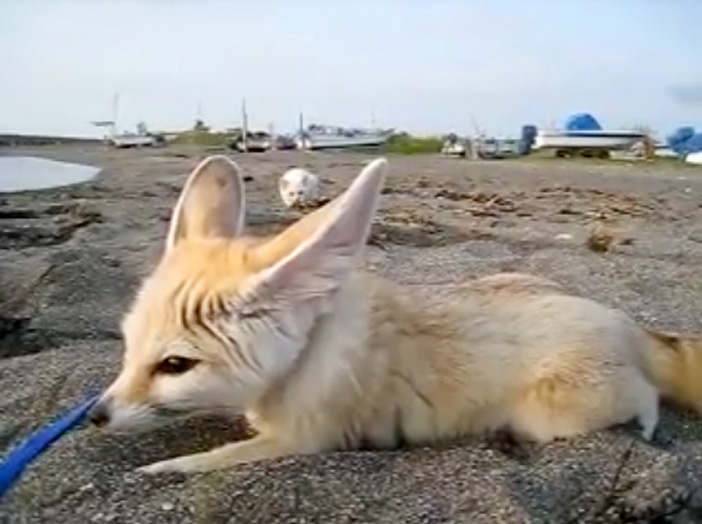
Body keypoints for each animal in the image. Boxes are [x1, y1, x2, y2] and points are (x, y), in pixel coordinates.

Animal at [88, 154, 702, 472]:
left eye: (175, 366)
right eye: (128, 349)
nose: (94, 417)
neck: (308, 352)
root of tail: (627, 324)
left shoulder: (304, 441)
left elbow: (200, 463)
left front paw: (156, 473)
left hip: (553, 414)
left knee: (646, 396)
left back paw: (646, 425)